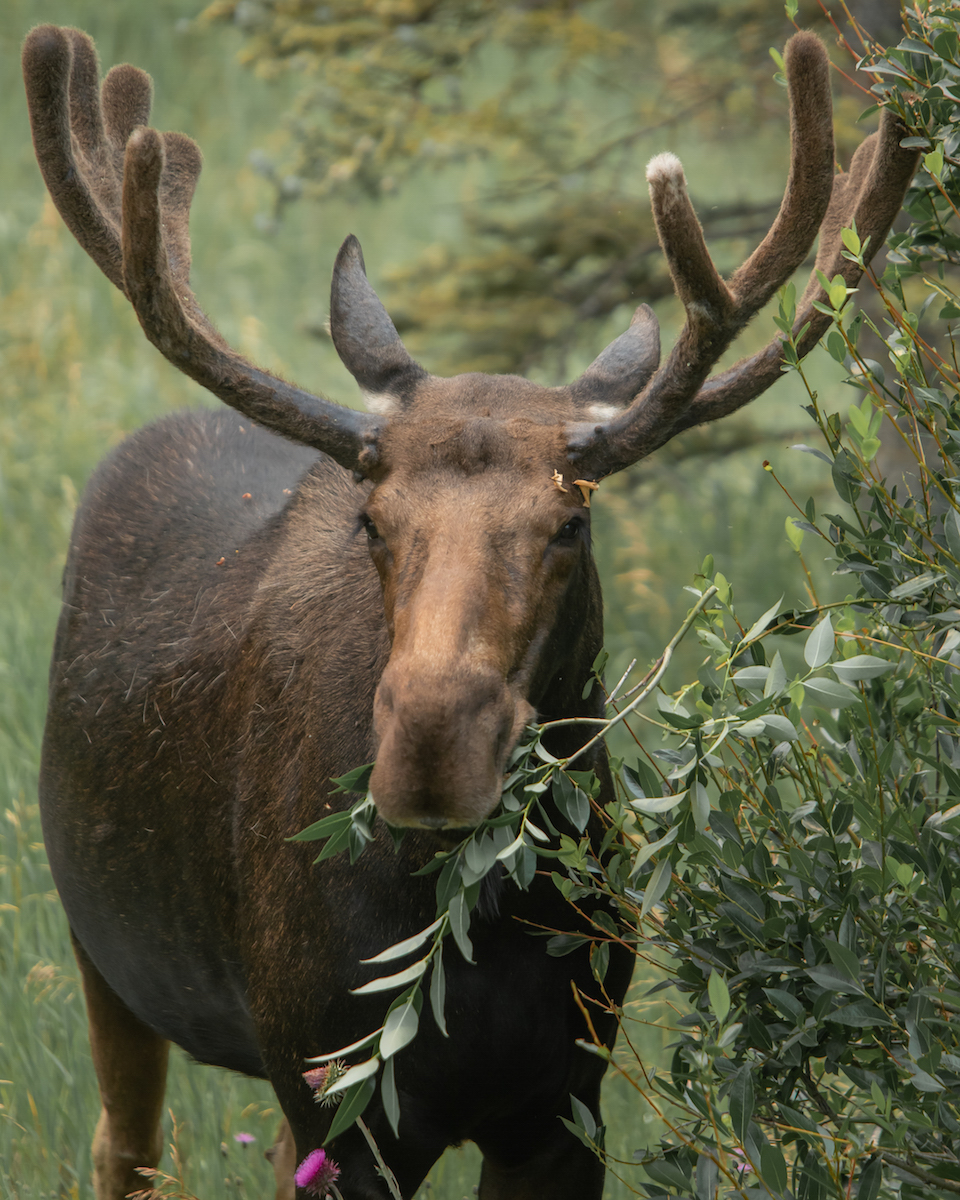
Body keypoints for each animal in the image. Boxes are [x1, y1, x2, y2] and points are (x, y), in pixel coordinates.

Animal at [22, 22, 918, 1200]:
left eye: (573, 521)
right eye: (372, 519)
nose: (431, 745)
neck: (469, 931)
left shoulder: (564, 1101)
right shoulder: (341, 1105)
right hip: (108, 956)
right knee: (120, 1149)